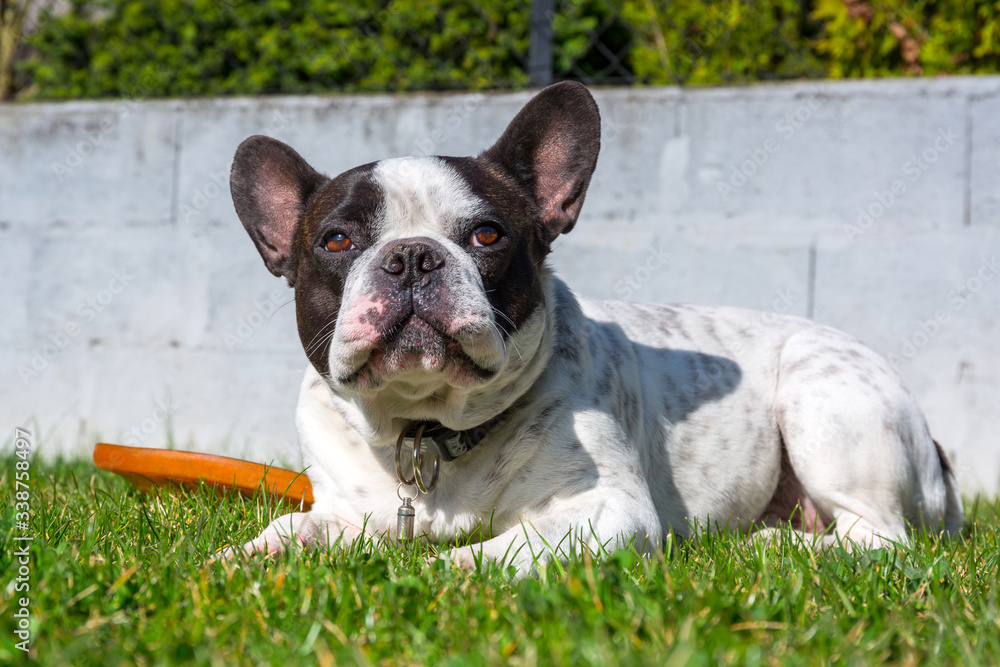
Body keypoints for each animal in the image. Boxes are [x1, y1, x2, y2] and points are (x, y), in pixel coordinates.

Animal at [225, 82, 960, 576]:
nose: (411, 255)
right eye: (337, 240)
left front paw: (445, 572)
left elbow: (510, 545)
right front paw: (243, 555)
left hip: (822, 397)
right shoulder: (348, 512)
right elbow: (296, 524)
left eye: (487, 234)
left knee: (879, 536)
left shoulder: (606, 508)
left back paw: (777, 542)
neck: (425, 431)